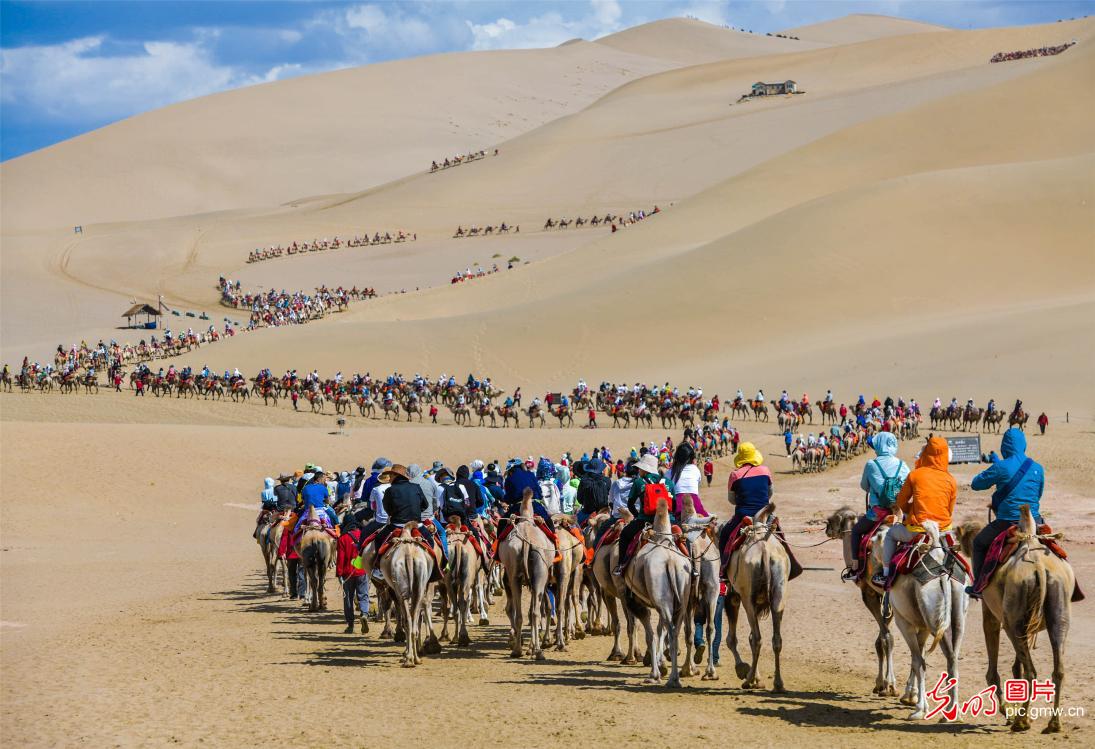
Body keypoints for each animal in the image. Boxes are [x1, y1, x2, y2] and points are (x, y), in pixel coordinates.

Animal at [499, 490, 551, 661]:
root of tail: (527, 539)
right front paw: (532, 647)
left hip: (514, 575)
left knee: (519, 613)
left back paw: (517, 649)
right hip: (539, 576)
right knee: (534, 612)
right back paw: (537, 651)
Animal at [621, 499, 687, 687]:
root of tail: (670, 562)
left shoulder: (636, 603)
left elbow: (651, 635)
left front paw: (654, 673)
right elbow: (658, 631)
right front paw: (659, 667)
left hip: (662, 600)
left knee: (671, 631)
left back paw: (673, 679)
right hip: (681, 601)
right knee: (675, 630)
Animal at [727, 503, 788, 692]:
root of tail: (765, 551)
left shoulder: (732, 596)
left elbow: (732, 639)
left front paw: (744, 671)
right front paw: (756, 678)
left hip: (747, 600)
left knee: (757, 639)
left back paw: (748, 681)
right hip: (778, 594)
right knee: (776, 639)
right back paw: (778, 683)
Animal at [959, 505, 1077, 735]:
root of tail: (1038, 566)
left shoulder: (991, 612)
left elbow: (995, 668)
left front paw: (1008, 712)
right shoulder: (1029, 625)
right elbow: (1017, 666)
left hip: (1012, 617)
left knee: (1031, 671)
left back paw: (1021, 722)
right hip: (1058, 607)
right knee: (1058, 667)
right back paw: (1053, 723)